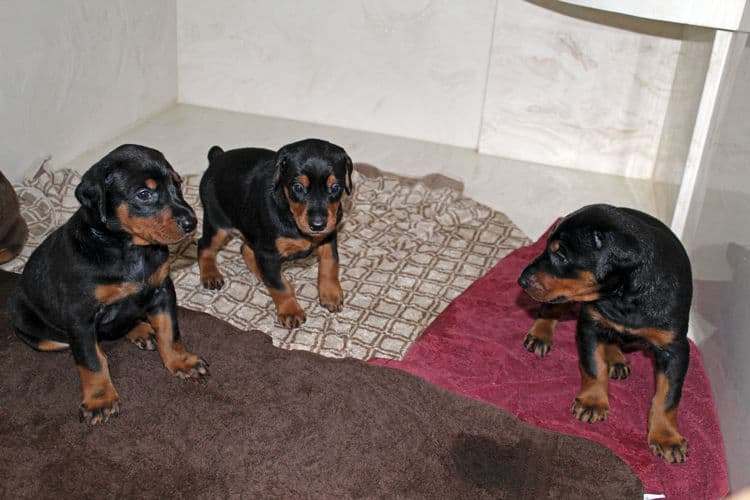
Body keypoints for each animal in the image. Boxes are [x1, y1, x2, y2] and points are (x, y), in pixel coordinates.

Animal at [8, 145, 209, 426]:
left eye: (178, 184)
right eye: (144, 194)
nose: (192, 222)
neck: (128, 248)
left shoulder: (162, 290)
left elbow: (170, 331)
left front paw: (181, 361)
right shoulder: (79, 315)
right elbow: (92, 360)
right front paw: (99, 400)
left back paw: (143, 330)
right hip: (35, 329)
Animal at [198, 139, 354, 330]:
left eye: (335, 187)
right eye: (298, 187)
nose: (318, 225)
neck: (290, 214)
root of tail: (217, 158)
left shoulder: (328, 238)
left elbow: (330, 264)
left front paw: (330, 294)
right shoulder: (268, 254)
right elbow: (281, 287)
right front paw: (290, 312)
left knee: (245, 249)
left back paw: (261, 274)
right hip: (217, 223)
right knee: (204, 246)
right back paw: (211, 275)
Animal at [520, 205, 696, 462]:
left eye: (561, 255)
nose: (521, 280)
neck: (625, 295)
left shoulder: (675, 348)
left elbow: (668, 395)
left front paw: (667, 438)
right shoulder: (590, 324)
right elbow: (594, 366)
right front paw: (593, 402)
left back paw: (616, 358)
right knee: (552, 308)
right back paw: (541, 334)